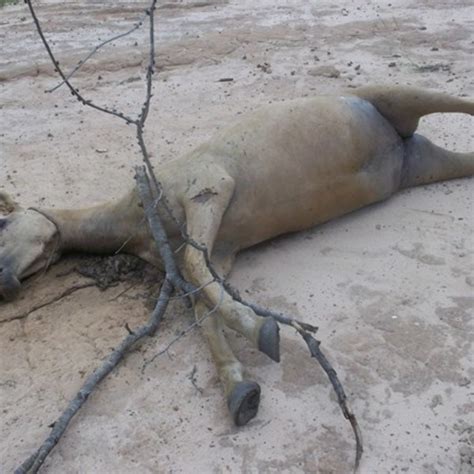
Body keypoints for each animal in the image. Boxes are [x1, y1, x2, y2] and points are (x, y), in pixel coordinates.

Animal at [0, 86, 472, 426]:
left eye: (3, 223)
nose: (5, 283)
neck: (131, 217)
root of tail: (400, 142)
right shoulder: (216, 253)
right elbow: (202, 306)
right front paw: (240, 390)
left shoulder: (209, 188)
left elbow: (200, 276)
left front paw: (264, 333)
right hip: (421, 164)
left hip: (397, 95)